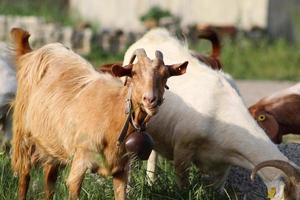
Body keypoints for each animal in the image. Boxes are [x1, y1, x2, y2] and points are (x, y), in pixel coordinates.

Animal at [10, 27, 188, 200]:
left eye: (165, 75)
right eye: (134, 73)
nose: (150, 100)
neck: (114, 115)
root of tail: (31, 53)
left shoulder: (121, 169)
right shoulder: (80, 159)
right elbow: (73, 187)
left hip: (52, 143)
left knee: (49, 178)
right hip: (23, 135)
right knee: (25, 175)